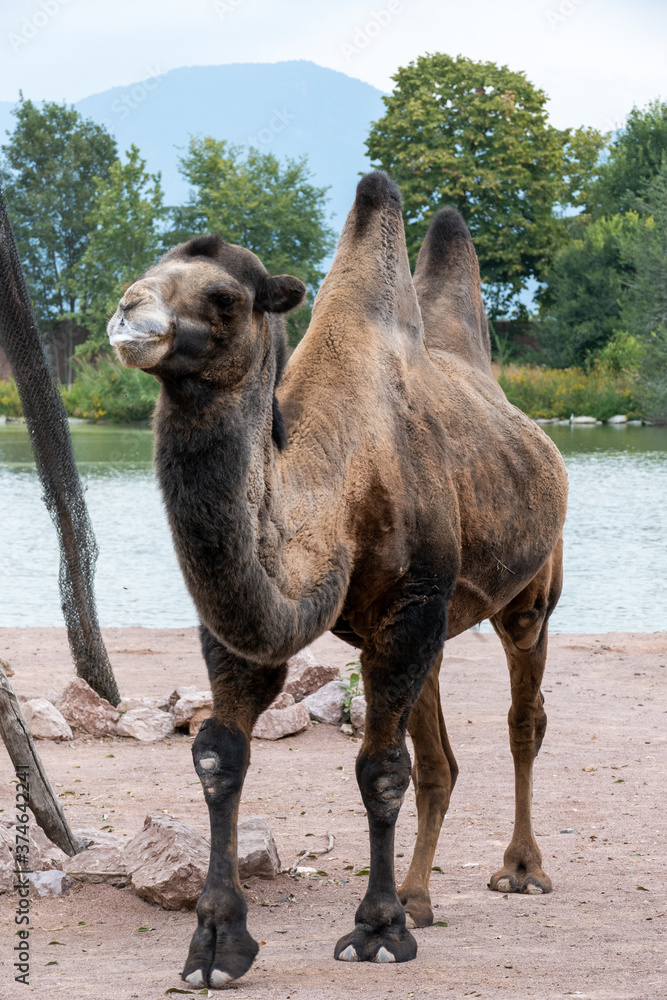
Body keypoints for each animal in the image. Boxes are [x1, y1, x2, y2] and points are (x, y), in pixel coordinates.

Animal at [107, 171, 567, 988]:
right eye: (147, 269)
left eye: (223, 298)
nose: (129, 313)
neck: (338, 485)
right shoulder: (264, 629)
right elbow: (218, 755)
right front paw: (215, 947)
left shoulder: (410, 604)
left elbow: (379, 767)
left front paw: (376, 932)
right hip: (432, 628)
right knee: (440, 760)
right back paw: (418, 898)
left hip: (530, 597)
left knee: (523, 718)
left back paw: (518, 870)